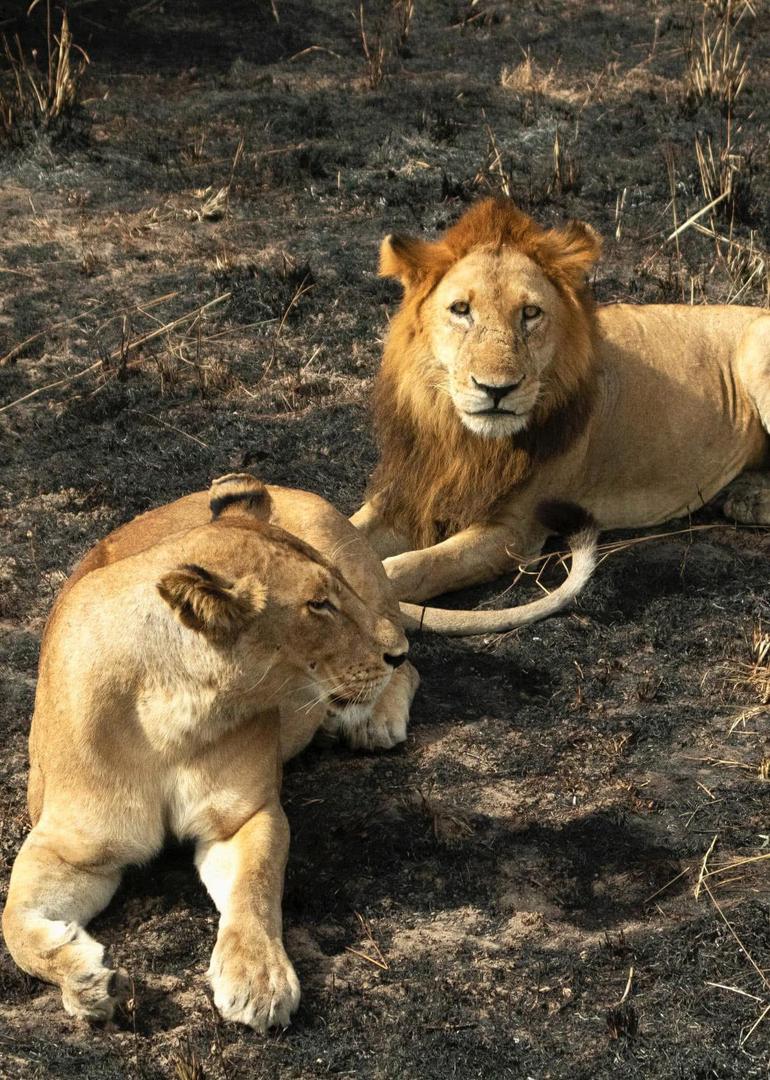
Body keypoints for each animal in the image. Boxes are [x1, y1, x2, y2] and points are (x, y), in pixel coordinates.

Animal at [2, 473, 411, 1031]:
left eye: (333, 594)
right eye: (318, 605)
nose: (395, 651)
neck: (171, 713)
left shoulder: (245, 815)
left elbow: (255, 888)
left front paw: (258, 978)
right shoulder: (70, 847)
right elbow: (15, 927)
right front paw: (88, 982)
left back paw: (374, 719)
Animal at [351, 197, 770, 604]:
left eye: (530, 313)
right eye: (461, 310)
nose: (497, 389)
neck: (464, 438)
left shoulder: (513, 532)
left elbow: (413, 567)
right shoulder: (411, 490)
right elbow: (348, 530)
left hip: (756, 349)